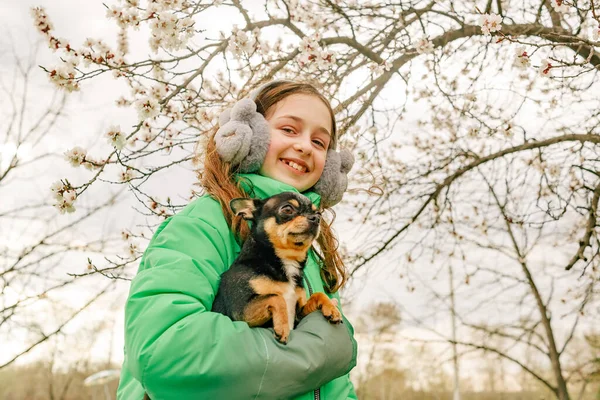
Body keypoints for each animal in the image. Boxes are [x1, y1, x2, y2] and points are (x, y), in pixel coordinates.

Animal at [212, 192, 342, 342]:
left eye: (319, 213)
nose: (316, 218)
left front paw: (332, 309)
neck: (287, 260)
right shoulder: (240, 310)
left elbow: (318, 294)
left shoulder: (298, 314)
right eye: (287, 209)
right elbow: (276, 297)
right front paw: (282, 327)